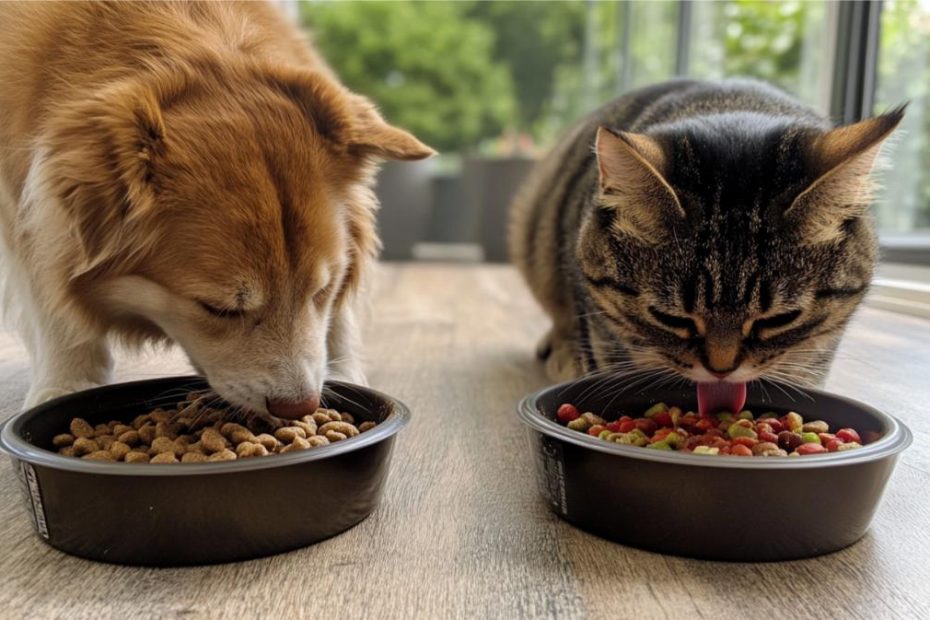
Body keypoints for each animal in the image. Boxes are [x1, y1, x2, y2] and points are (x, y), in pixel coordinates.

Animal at [0, 1, 434, 416]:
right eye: (217, 309)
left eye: (322, 291)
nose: (300, 406)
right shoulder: (21, 199)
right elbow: (47, 292)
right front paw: (69, 382)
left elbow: (339, 313)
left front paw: (345, 373)